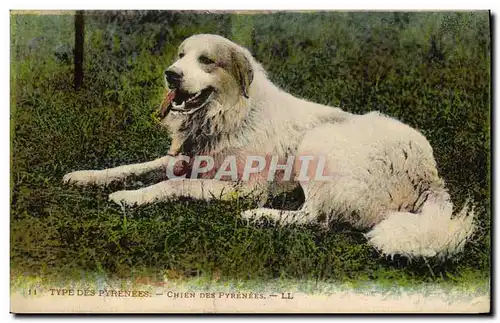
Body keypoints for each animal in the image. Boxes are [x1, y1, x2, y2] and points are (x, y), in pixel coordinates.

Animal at [64, 34, 474, 260]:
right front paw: (86, 175)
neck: (229, 116)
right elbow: (131, 168)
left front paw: (132, 197)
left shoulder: (243, 188)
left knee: (316, 218)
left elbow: (172, 184)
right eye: (181, 56)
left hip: (318, 143)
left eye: (206, 61)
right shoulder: (182, 158)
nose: (171, 74)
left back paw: (261, 217)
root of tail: (429, 174)